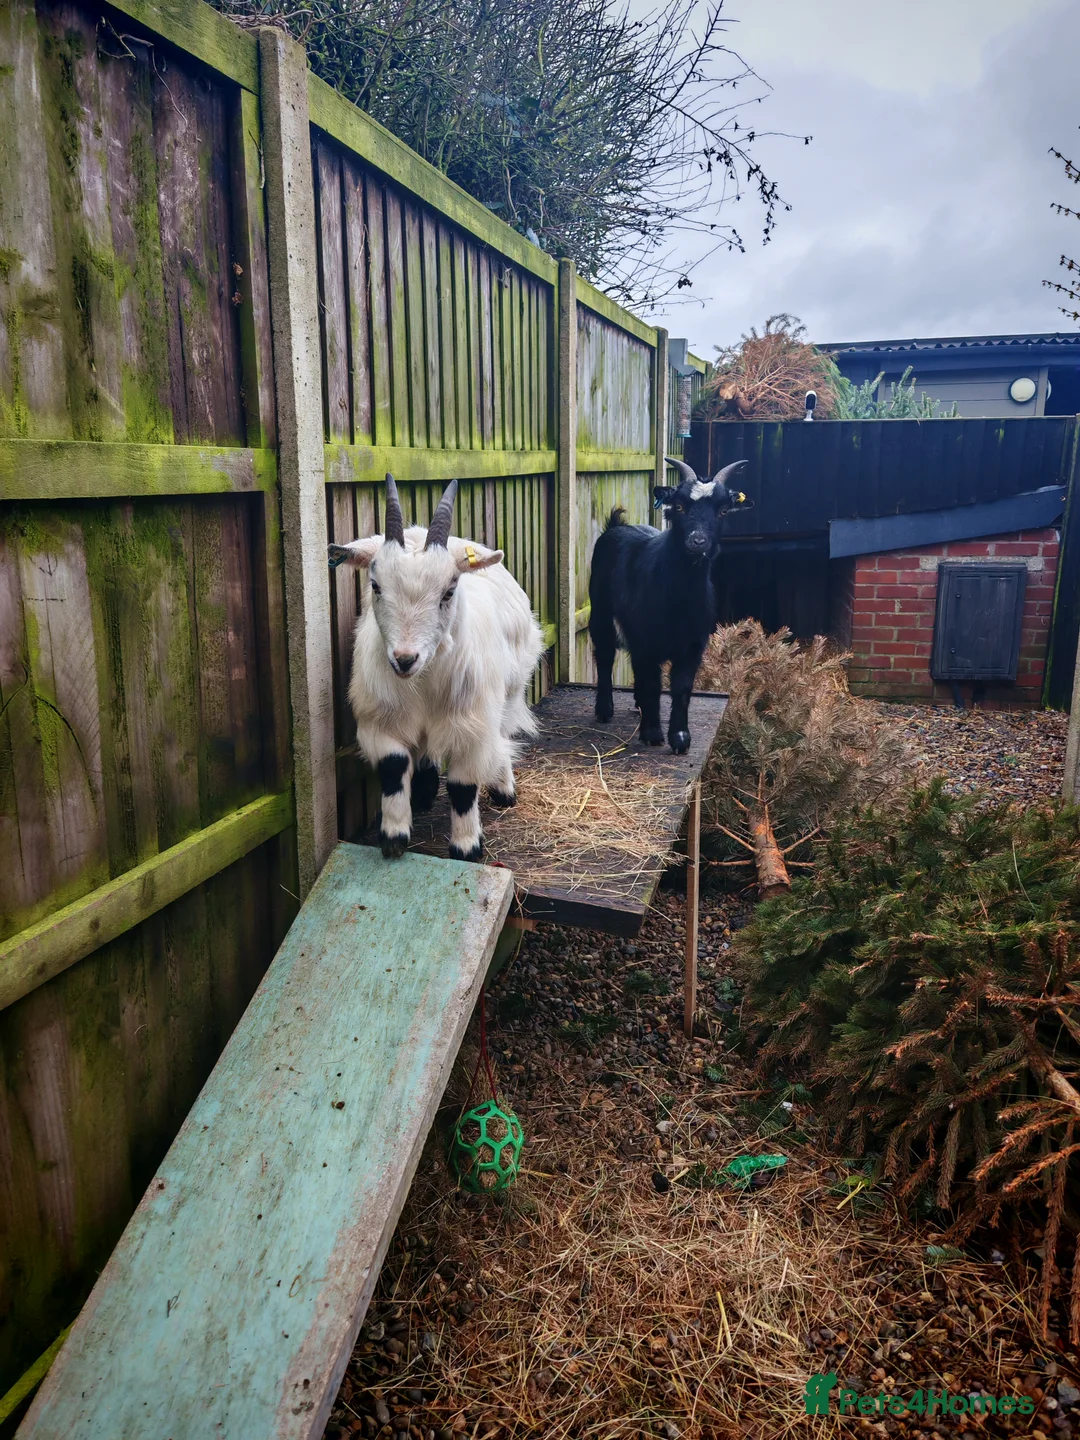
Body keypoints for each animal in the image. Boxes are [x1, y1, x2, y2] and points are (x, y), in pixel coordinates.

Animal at [328, 475, 544, 861]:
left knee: (502, 735)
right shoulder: (380, 719)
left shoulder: (472, 725)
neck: (424, 682)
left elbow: (462, 785)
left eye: (449, 590)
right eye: (375, 586)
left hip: (511, 690)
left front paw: (467, 847)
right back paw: (425, 792)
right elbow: (393, 766)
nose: (404, 658)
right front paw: (394, 836)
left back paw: (503, 789)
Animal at [588, 456, 750, 754]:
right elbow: (652, 683)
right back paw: (604, 709)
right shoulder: (646, 640)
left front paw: (680, 738)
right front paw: (652, 733)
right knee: (605, 653)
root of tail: (616, 526)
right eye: (679, 505)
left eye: (723, 510)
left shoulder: (694, 644)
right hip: (600, 609)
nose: (697, 541)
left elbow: (682, 688)